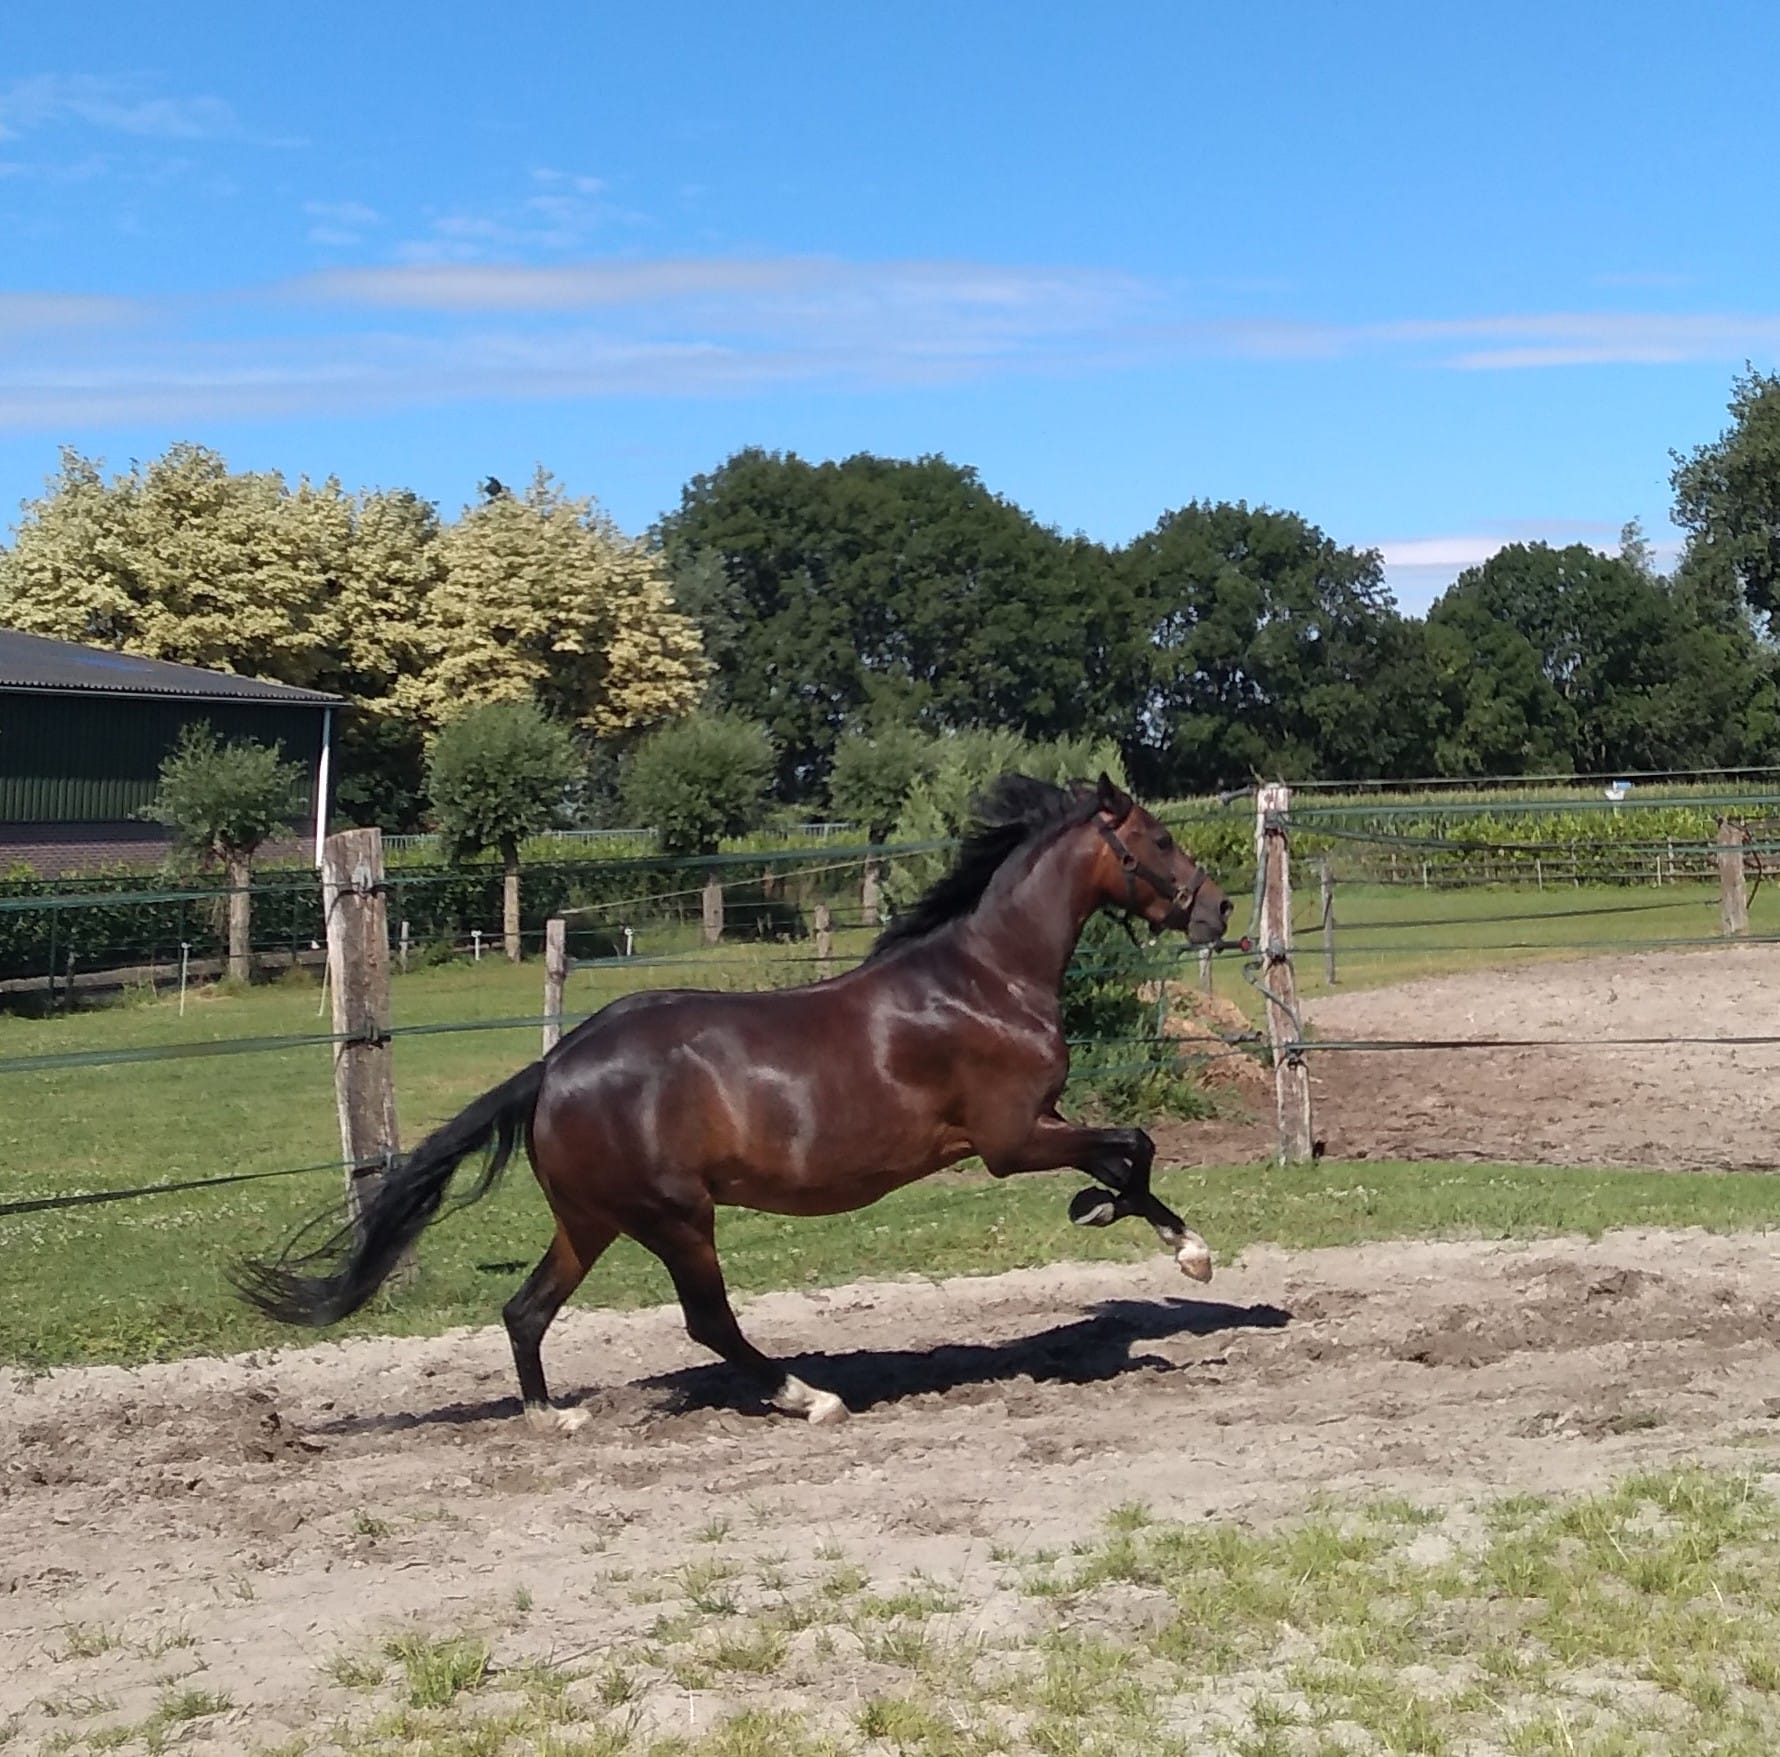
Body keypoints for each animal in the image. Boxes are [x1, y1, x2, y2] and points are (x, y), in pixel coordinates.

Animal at [236, 779, 1231, 1431]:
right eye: (1160, 840)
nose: (1217, 909)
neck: (986, 979)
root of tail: (554, 1066)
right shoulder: (1011, 1137)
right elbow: (1133, 1142)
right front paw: (1176, 1245)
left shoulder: (1026, 1134)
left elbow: (1128, 1152)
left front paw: (1122, 1218)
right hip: (677, 1217)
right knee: (706, 1320)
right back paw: (810, 1396)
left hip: (593, 1220)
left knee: (526, 1309)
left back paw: (553, 1417)